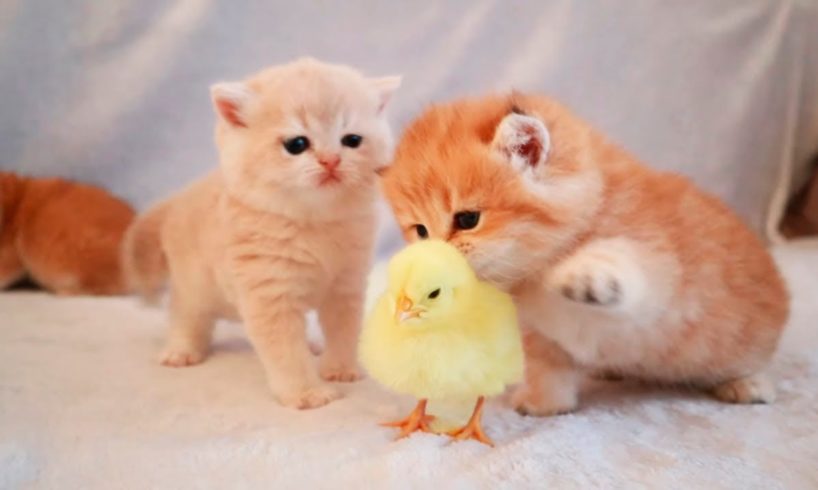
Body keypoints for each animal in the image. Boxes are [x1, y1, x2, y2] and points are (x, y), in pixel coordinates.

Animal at [122, 57, 400, 410]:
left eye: (352, 140)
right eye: (297, 144)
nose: (331, 160)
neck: (314, 223)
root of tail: (180, 197)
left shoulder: (346, 286)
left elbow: (344, 332)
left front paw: (340, 369)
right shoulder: (269, 295)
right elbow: (286, 352)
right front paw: (306, 393)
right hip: (194, 284)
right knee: (186, 315)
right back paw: (181, 350)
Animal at [380, 94, 788, 416]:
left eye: (467, 220)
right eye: (420, 231)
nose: (431, 262)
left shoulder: (660, 275)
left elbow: (625, 261)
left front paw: (583, 274)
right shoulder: (539, 334)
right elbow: (548, 369)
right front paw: (545, 404)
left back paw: (748, 385)